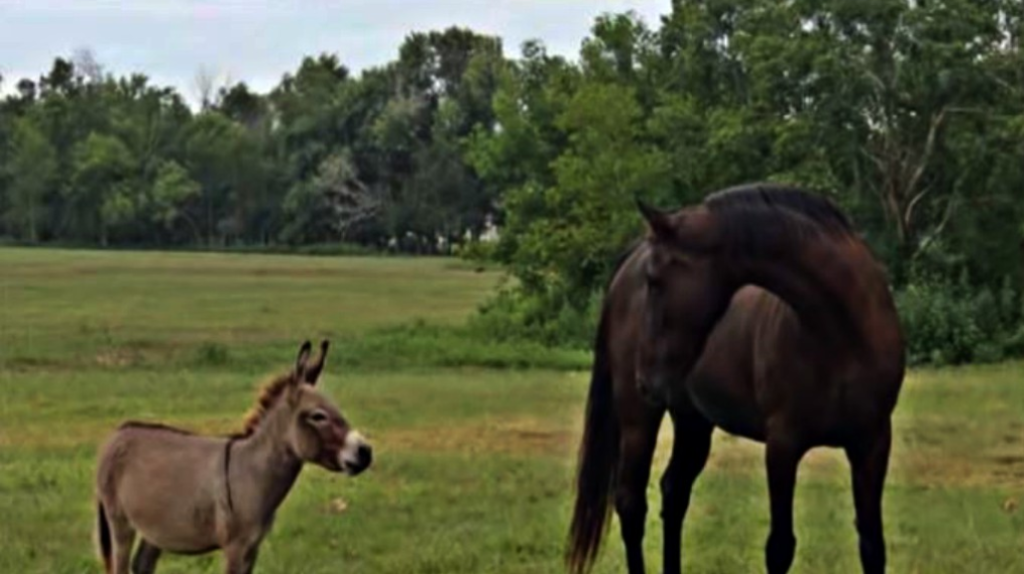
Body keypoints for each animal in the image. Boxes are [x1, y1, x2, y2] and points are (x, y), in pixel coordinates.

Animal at [94, 339, 374, 572]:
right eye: (318, 416)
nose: (365, 452)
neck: (253, 471)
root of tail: (117, 433)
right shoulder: (235, 548)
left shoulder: (252, 548)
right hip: (119, 521)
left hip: (156, 527)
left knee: (141, 564)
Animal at [569, 184, 905, 572]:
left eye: (655, 281)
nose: (647, 380)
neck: (841, 334)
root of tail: (629, 261)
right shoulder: (783, 445)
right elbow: (780, 548)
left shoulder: (872, 443)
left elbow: (872, 546)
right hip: (639, 418)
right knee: (631, 505)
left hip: (692, 422)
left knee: (674, 493)